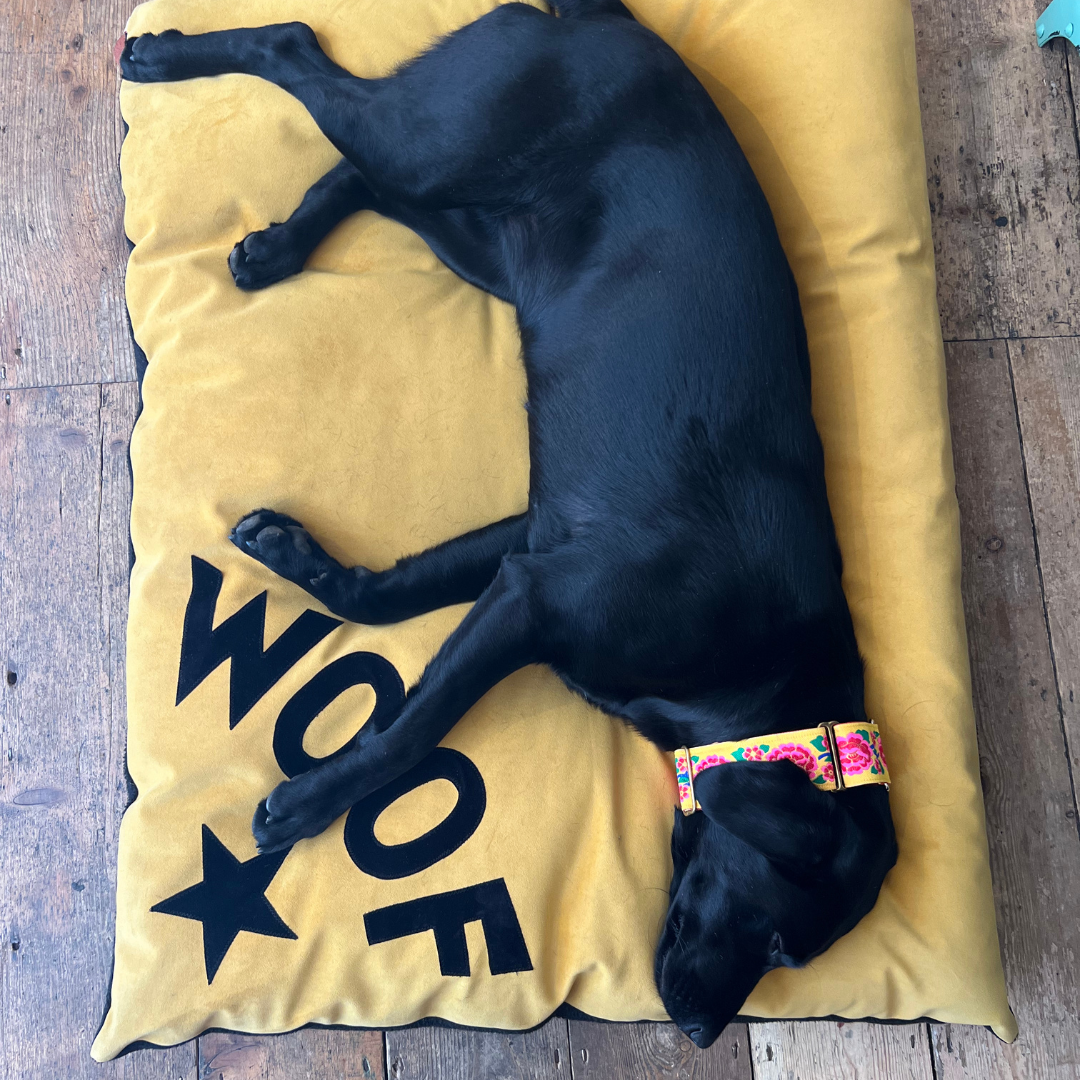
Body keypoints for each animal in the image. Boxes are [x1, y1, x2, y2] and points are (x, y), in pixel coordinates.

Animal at [120, 0, 894, 1045]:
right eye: (780, 946)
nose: (699, 1033)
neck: (762, 683)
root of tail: (603, 18)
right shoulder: (534, 601)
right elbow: (411, 730)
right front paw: (313, 802)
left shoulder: (529, 548)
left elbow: (394, 591)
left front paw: (301, 561)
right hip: (440, 145)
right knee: (297, 53)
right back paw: (161, 58)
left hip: (490, 240)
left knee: (355, 169)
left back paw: (278, 247)